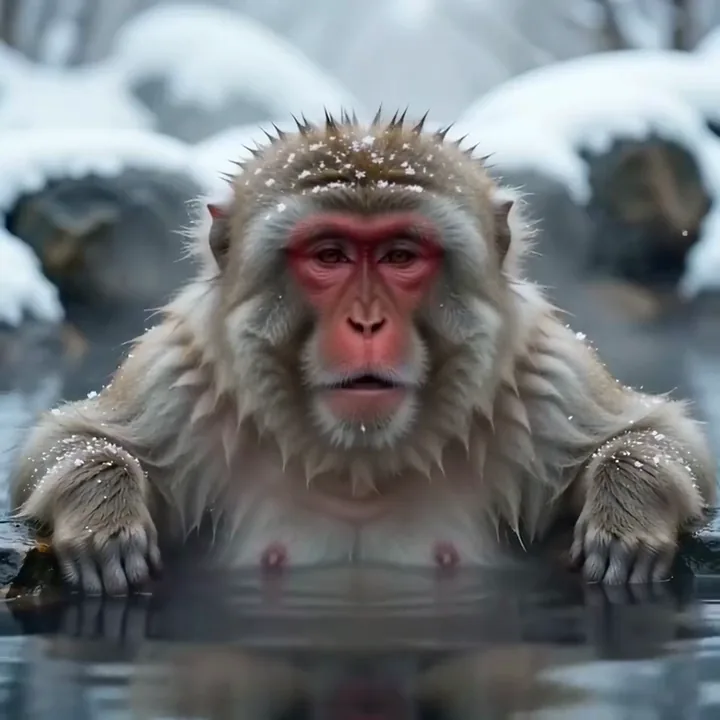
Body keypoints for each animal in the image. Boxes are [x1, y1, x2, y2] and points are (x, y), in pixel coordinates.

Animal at [8, 109, 717, 596]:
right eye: (331, 255)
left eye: (401, 255)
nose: (367, 320)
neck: (360, 462)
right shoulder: (183, 375)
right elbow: (67, 439)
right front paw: (105, 521)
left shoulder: (539, 377)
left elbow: (658, 433)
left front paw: (626, 518)